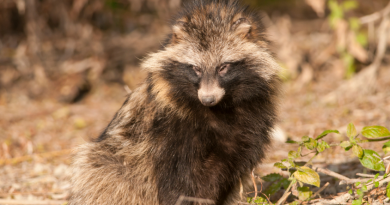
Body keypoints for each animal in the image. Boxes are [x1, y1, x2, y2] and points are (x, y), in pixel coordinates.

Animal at [70, 0, 280, 205]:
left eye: (223, 67)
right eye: (195, 68)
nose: (208, 99)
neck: (219, 109)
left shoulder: (250, 126)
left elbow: (229, 171)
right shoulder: (168, 129)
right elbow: (175, 181)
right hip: (111, 162)